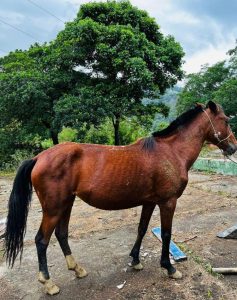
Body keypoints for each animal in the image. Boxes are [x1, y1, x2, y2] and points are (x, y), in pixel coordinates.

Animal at [4, 101, 237, 296]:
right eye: (226, 120)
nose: (233, 147)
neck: (171, 151)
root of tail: (38, 157)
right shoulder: (168, 202)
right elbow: (167, 234)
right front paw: (169, 268)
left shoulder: (149, 202)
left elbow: (142, 228)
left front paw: (135, 260)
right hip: (53, 209)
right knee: (41, 241)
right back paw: (49, 283)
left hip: (66, 204)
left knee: (61, 234)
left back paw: (77, 269)